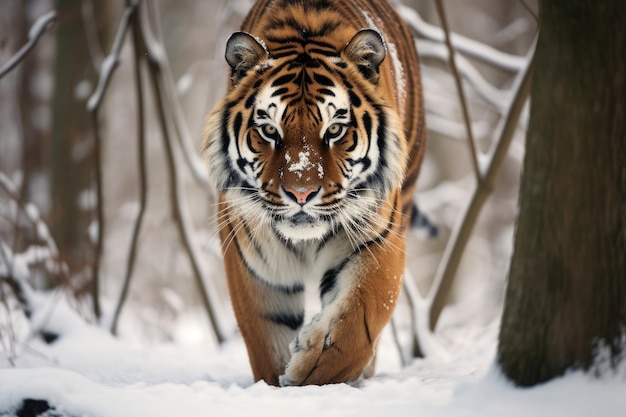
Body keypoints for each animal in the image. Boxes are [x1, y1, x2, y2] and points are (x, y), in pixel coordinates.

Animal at [202, 0, 426, 386]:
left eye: (334, 130)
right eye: (269, 130)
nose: (301, 193)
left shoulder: (379, 238)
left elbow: (359, 320)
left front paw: (311, 373)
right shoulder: (254, 263)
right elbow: (267, 339)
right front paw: (280, 381)